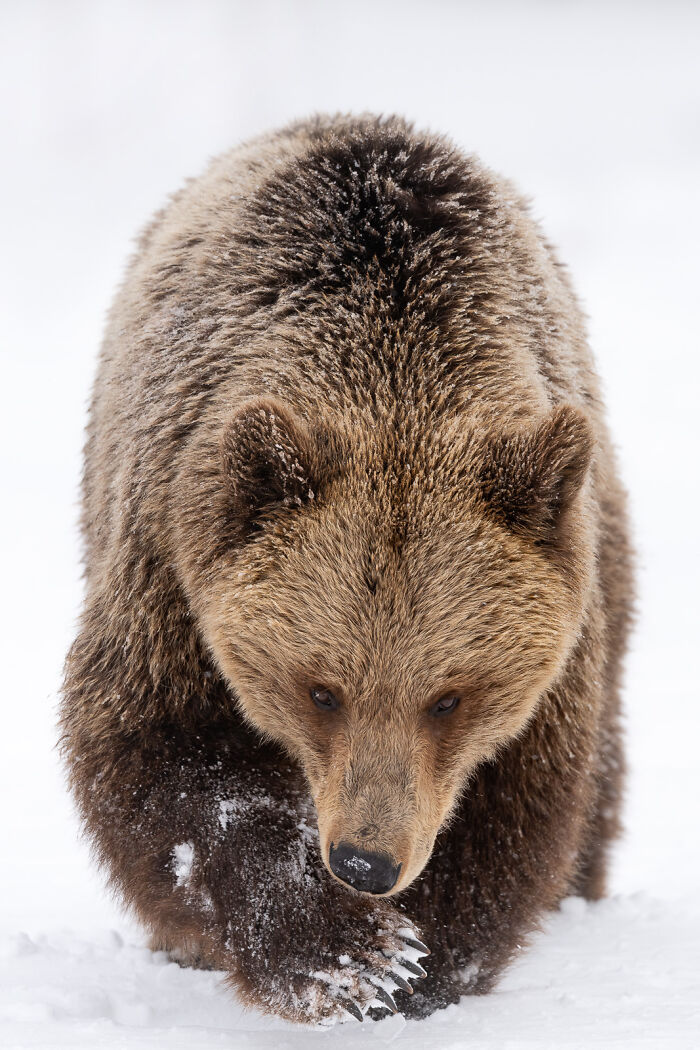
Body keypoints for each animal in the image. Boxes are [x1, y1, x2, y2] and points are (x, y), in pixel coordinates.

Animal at [60, 114, 634, 1025]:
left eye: (449, 697)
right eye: (320, 689)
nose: (367, 861)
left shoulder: (553, 654)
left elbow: (518, 799)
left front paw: (424, 958)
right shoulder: (172, 566)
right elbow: (165, 759)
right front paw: (349, 954)